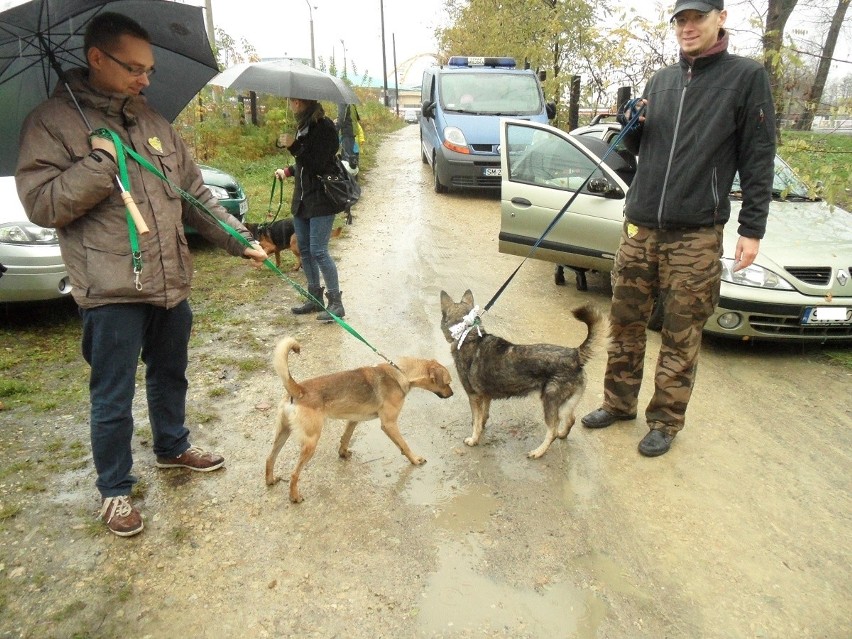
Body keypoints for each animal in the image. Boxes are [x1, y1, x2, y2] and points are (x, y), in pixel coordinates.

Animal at [266, 338, 456, 502]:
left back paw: (270, 480)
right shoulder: (389, 424)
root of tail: (298, 390)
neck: (401, 373)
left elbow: (345, 437)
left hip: (282, 434)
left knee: (270, 458)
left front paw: (343, 453)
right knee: (294, 473)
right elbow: (404, 445)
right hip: (310, 442)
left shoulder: (353, 419)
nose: (452, 394)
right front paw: (415, 460)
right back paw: (294, 497)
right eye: (447, 383)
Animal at [440, 290, 604, 460]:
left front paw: (474, 439)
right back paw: (562, 434)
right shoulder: (485, 396)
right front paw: (482, 428)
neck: (467, 334)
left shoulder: (474, 396)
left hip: (550, 402)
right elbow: (483, 416)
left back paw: (539, 451)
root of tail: (574, 355)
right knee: (571, 419)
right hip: (565, 403)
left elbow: (476, 420)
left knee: (552, 431)